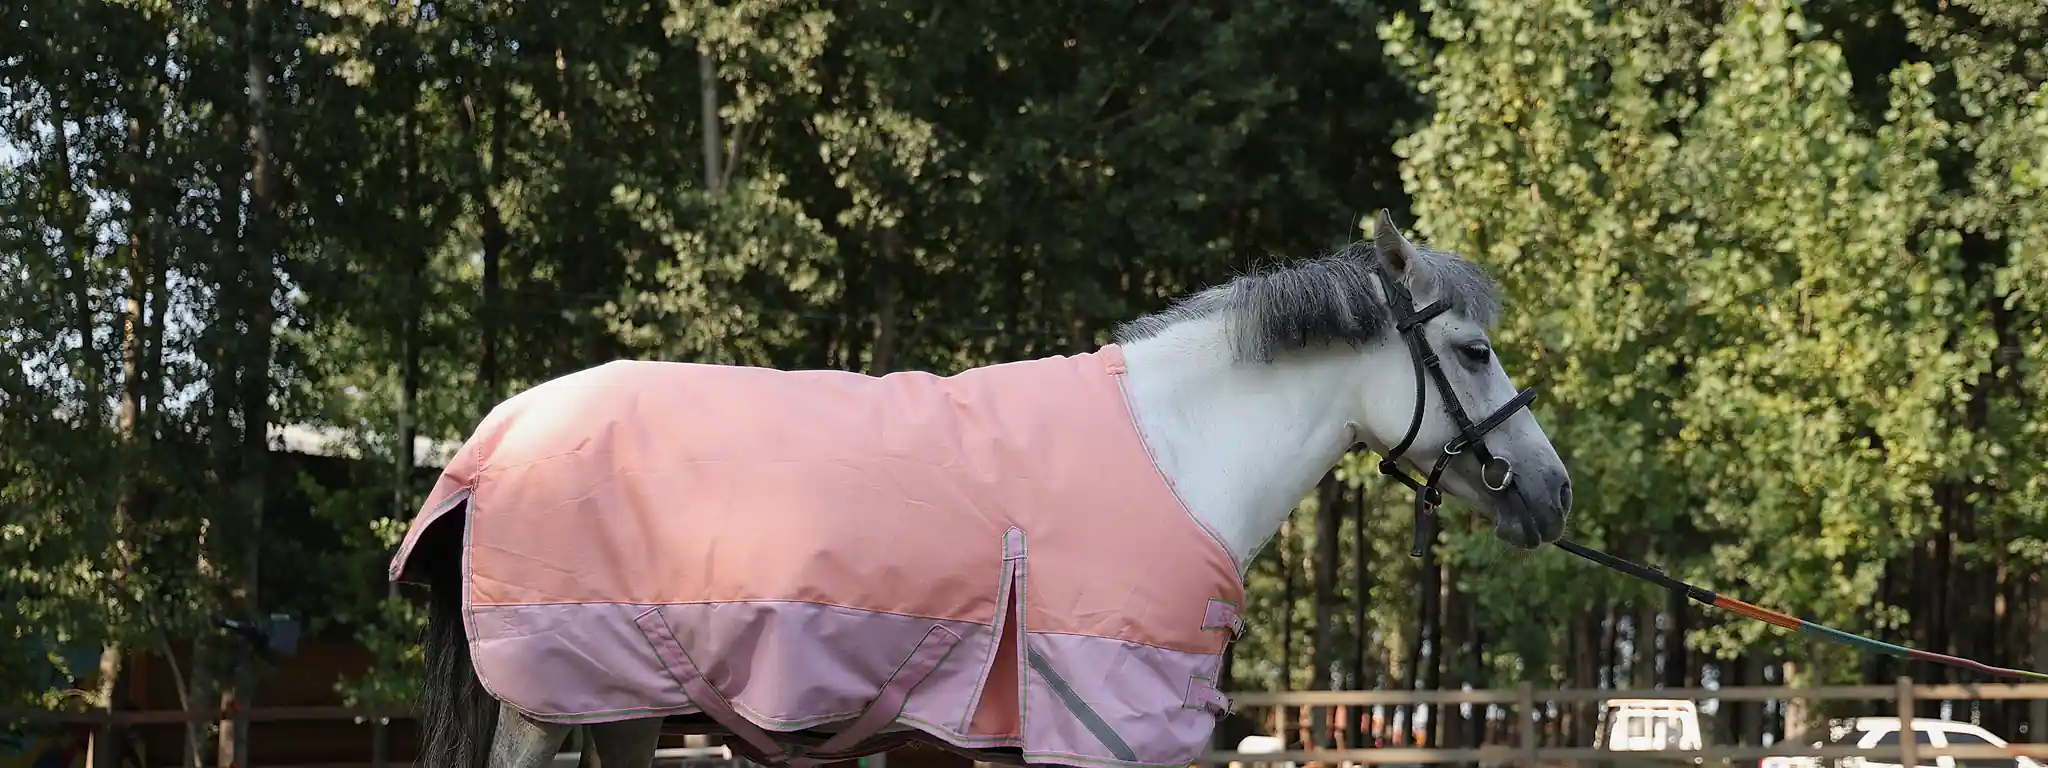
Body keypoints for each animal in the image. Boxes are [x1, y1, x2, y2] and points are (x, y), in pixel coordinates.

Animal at [389, 210, 1571, 768]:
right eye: (1472, 352)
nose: (1552, 493)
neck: (1177, 446)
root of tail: (498, 437)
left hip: (622, 704)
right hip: (541, 703)